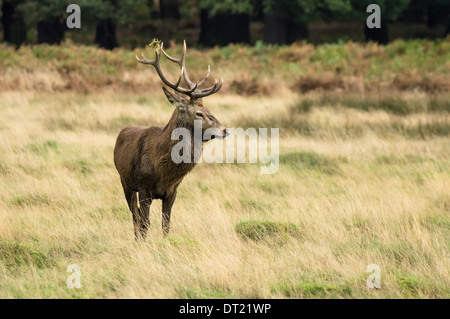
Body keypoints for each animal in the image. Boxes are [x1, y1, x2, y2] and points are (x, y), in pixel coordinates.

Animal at [113, 40, 229, 240]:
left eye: (209, 110)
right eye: (199, 113)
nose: (224, 130)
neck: (163, 172)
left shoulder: (172, 192)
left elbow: (166, 225)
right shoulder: (144, 187)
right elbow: (145, 223)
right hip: (124, 181)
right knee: (134, 216)